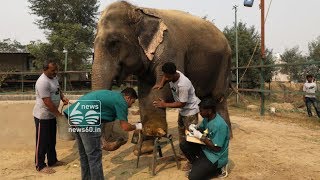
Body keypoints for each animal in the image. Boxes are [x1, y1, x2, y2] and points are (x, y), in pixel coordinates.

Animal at [92, 0, 232, 148]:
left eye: (113, 43)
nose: (121, 140)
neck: (139, 10)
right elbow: (145, 93)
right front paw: (146, 146)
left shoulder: (170, 47)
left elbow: (164, 89)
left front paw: (154, 133)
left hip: (225, 63)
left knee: (218, 97)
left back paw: (226, 137)